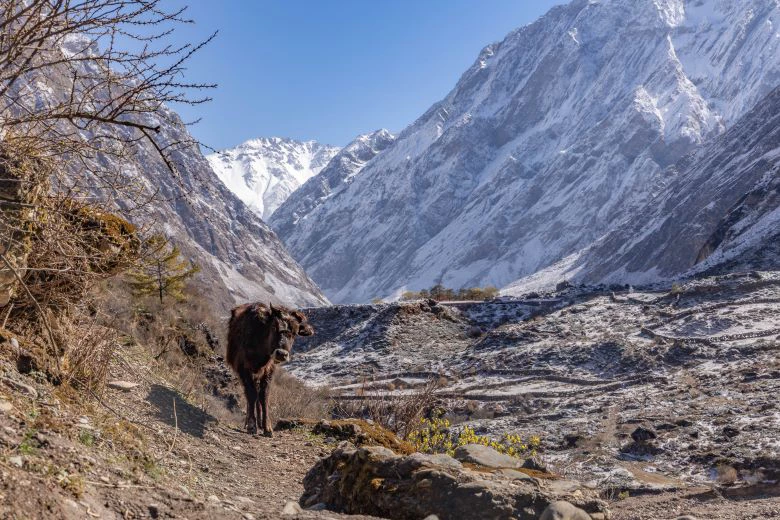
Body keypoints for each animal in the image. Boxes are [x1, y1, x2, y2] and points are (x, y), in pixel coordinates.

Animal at [225, 302, 314, 436]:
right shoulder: (244, 368)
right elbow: (251, 394)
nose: (281, 354)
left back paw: (260, 423)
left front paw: (267, 426)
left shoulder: (269, 370)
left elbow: (264, 395)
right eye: (273, 327)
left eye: (295, 333)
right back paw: (249, 422)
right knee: (250, 395)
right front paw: (252, 425)